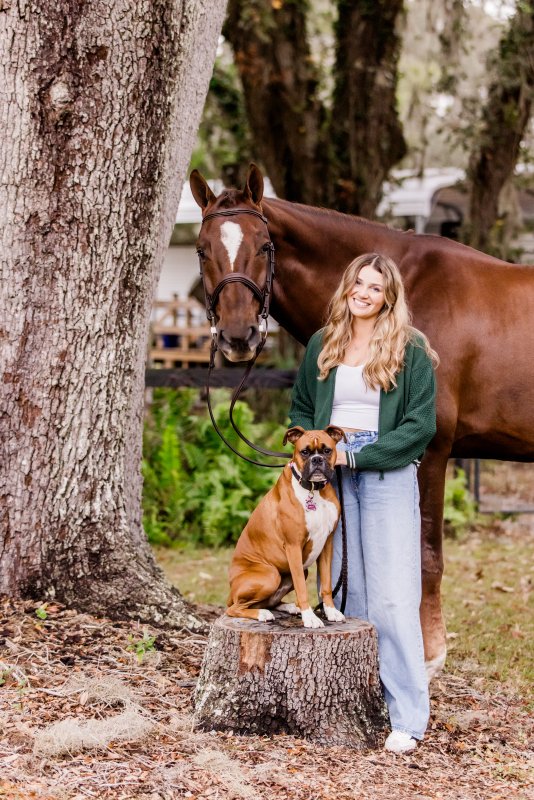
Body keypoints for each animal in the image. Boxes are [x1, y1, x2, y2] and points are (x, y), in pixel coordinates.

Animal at [190, 163, 534, 679]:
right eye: (202, 248)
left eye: (265, 246)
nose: (237, 336)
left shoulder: (431, 452)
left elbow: (426, 557)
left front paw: (429, 658)